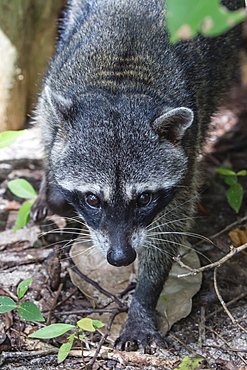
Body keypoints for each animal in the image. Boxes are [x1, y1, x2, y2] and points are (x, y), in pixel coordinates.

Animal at [31, 0, 244, 350]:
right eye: (92, 199)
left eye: (144, 198)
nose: (120, 258)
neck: (121, 83)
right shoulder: (55, 93)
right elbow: (47, 132)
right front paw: (52, 188)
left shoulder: (187, 149)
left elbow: (168, 230)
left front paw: (144, 300)